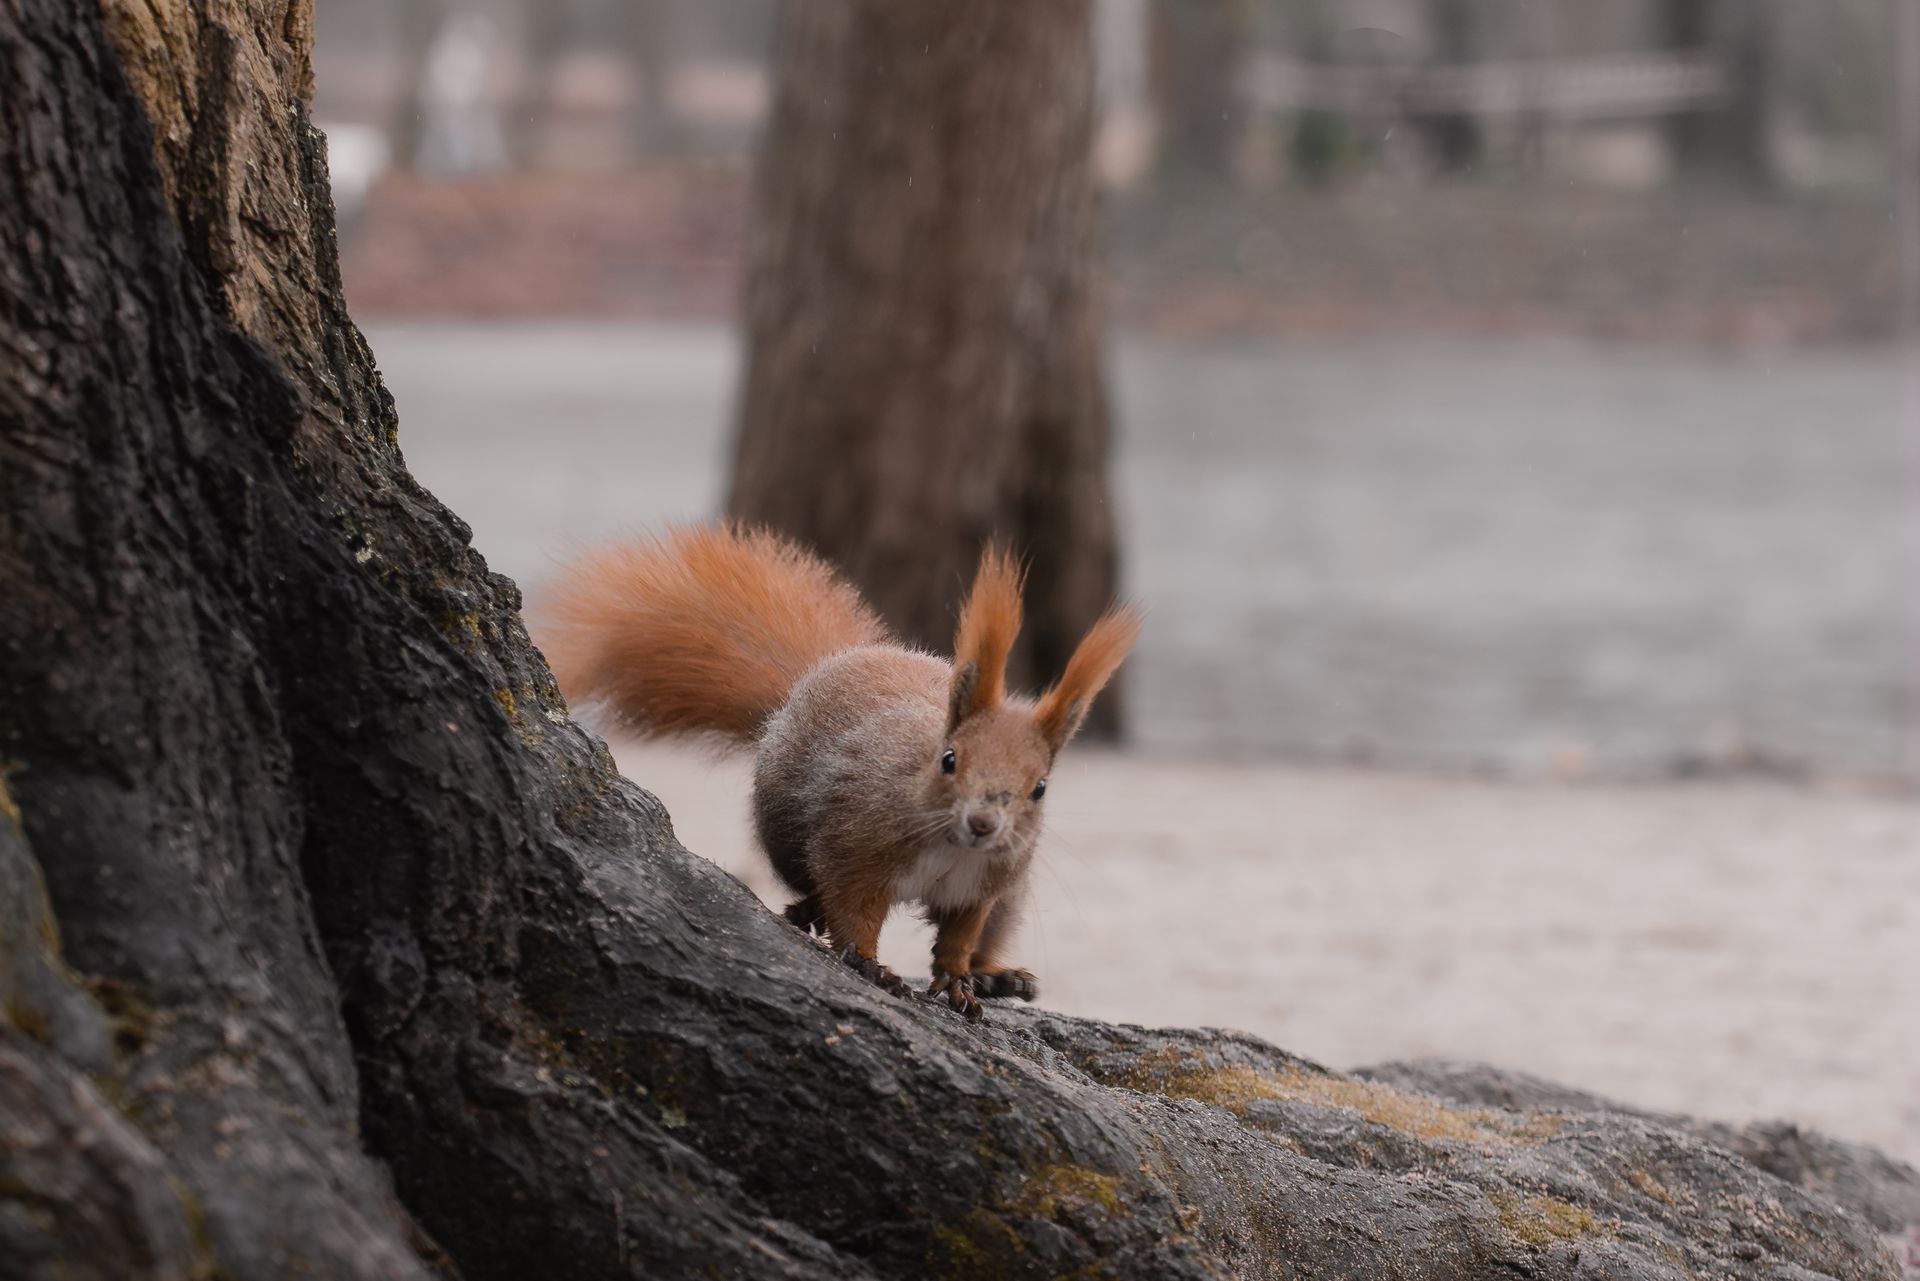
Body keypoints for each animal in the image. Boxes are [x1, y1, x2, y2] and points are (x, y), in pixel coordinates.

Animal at [537, 524, 1139, 1019]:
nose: (983, 824)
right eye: (949, 760)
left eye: (1040, 788)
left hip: (1011, 893)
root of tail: (821, 671)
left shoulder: (985, 883)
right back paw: (808, 908)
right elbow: (853, 906)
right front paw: (870, 963)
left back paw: (998, 977)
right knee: (807, 880)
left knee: (992, 933)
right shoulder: (857, 841)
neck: (948, 844)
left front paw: (959, 979)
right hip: (782, 825)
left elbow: (960, 935)